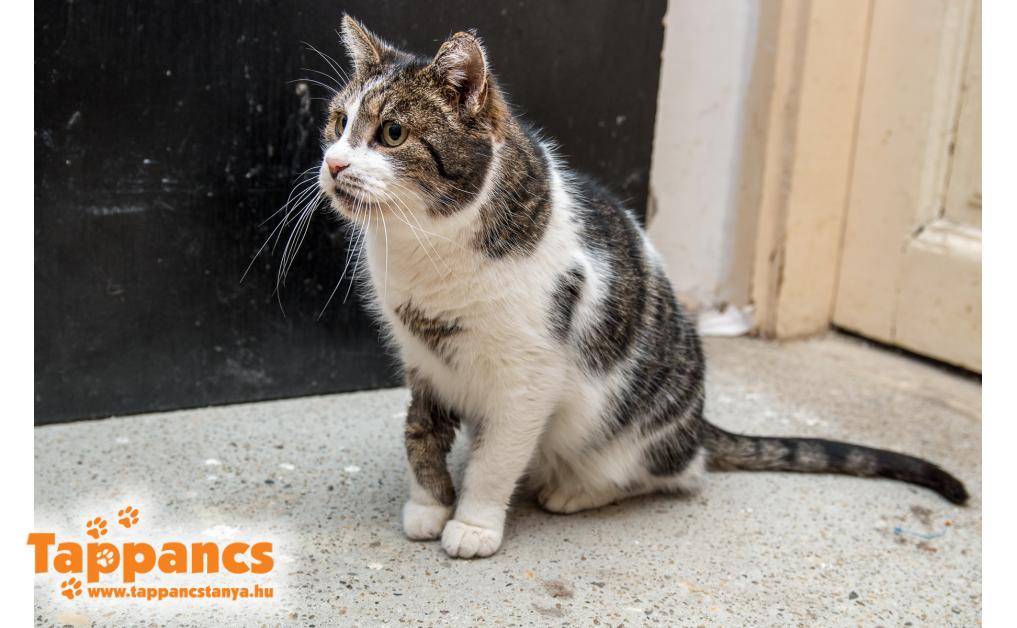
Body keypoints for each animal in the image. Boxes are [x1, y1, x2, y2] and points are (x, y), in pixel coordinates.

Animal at [306, 15, 968, 558]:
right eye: (338, 124)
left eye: (392, 133)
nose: (334, 164)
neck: (426, 249)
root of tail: (699, 423)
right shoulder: (422, 362)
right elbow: (418, 435)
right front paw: (428, 507)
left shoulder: (527, 377)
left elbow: (496, 459)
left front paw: (471, 524)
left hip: (628, 431)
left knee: (675, 473)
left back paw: (574, 489)